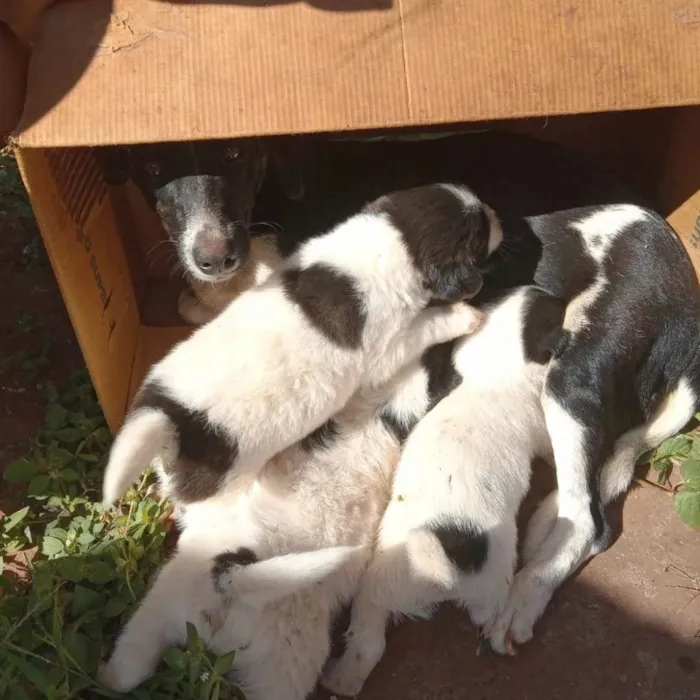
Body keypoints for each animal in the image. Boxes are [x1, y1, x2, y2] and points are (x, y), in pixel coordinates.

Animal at [101, 183, 500, 506]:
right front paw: (467, 315)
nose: (498, 214)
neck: (391, 241)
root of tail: (170, 417)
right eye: (479, 234)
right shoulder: (391, 347)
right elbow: (429, 324)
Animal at [320, 284, 568, 696]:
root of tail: (445, 574)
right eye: (555, 309)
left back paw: (341, 679)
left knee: (369, 644)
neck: (488, 379)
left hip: (379, 590)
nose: (558, 292)